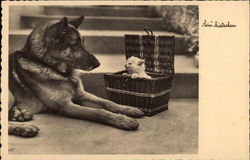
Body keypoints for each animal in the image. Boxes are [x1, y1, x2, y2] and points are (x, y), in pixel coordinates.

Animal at [8, 15, 144, 138]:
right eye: (74, 44)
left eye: (83, 43)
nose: (98, 64)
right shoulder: (65, 105)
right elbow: (98, 112)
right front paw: (124, 120)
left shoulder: (81, 95)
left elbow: (107, 102)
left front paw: (128, 109)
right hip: (10, 94)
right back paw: (24, 128)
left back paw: (19, 114)